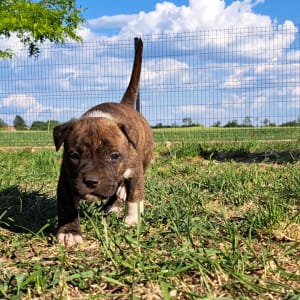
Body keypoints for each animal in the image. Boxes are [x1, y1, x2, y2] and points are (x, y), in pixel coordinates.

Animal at [52, 38, 154, 246]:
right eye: (74, 156)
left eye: (114, 156)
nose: (91, 181)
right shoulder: (66, 179)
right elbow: (67, 206)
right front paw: (69, 232)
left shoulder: (135, 172)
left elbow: (134, 196)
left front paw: (132, 220)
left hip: (145, 159)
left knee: (128, 190)